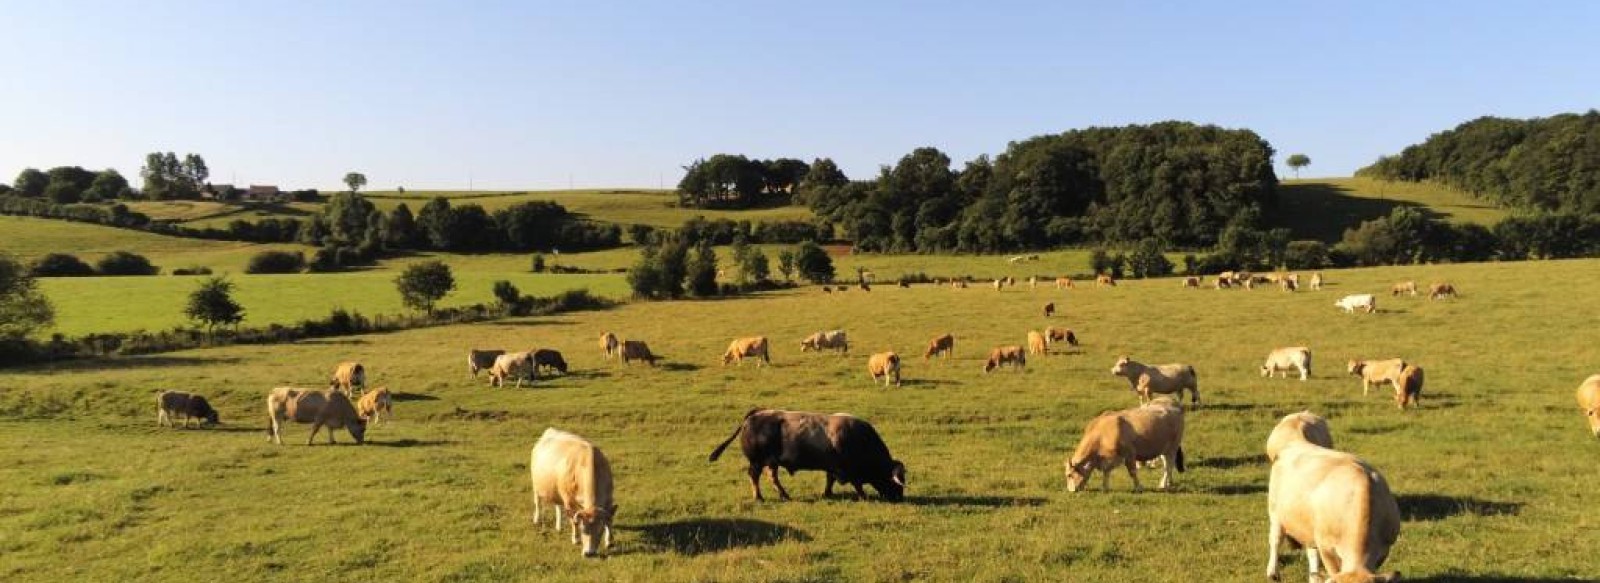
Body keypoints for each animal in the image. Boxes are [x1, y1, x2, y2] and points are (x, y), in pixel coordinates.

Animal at [531, 429, 617, 560]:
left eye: (600, 530)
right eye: (582, 529)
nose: (589, 553)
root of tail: (550, 431)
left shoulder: (608, 498)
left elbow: (609, 519)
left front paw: (609, 541)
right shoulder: (568, 500)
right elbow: (573, 520)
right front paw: (575, 539)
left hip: (557, 490)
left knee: (558, 506)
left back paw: (559, 526)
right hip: (537, 485)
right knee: (537, 502)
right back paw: (537, 519)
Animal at [707, 410, 908, 499]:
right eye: (896, 481)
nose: (899, 497)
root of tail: (754, 415)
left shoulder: (833, 468)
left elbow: (830, 480)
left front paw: (827, 493)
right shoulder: (849, 471)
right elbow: (857, 484)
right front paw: (863, 496)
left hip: (771, 462)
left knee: (772, 477)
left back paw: (784, 495)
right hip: (757, 462)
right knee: (754, 476)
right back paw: (759, 497)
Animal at [1062, 395, 1190, 493]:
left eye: (1069, 475)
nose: (1071, 491)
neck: (1102, 433)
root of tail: (1173, 402)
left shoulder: (1129, 454)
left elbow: (1132, 472)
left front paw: (1139, 487)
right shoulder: (1107, 458)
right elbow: (1106, 472)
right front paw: (1105, 487)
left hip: (1173, 446)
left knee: (1168, 466)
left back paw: (1164, 484)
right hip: (1164, 448)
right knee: (1166, 464)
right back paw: (1169, 482)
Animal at [1260, 413, 1401, 583]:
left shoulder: (1385, 548)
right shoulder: (1326, 547)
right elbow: (1333, 570)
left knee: (1311, 552)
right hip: (1275, 512)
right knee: (1275, 539)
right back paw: (1273, 572)